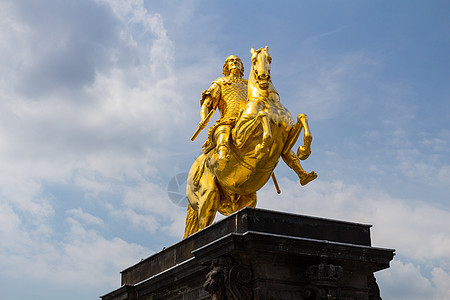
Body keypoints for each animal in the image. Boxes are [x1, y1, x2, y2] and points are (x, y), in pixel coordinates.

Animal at [183, 47, 316, 238]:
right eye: (254, 60)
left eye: (269, 58)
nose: (263, 77)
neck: (267, 100)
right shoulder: (239, 136)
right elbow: (261, 115)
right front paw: (262, 147)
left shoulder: (287, 137)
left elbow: (302, 118)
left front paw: (304, 151)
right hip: (209, 198)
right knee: (202, 227)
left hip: (244, 197)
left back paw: (305, 175)